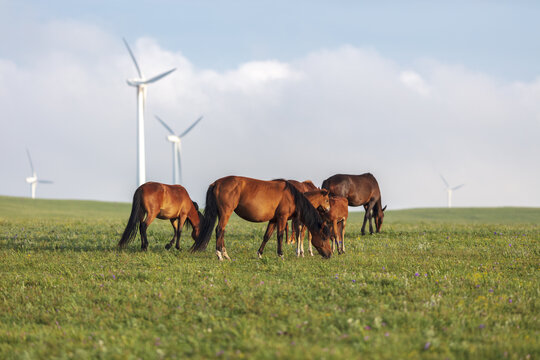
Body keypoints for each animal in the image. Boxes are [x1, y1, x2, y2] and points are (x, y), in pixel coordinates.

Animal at [190, 176, 334, 258]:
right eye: (324, 237)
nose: (329, 255)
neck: (292, 196)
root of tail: (216, 183)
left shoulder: (274, 220)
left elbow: (267, 236)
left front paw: (259, 254)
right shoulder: (282, 218)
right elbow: (280, 236)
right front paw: (281, 255)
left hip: (222, 214)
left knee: (222, 232)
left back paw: (225, 255)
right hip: (226, 212)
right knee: (219, 230)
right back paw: (220, 255)